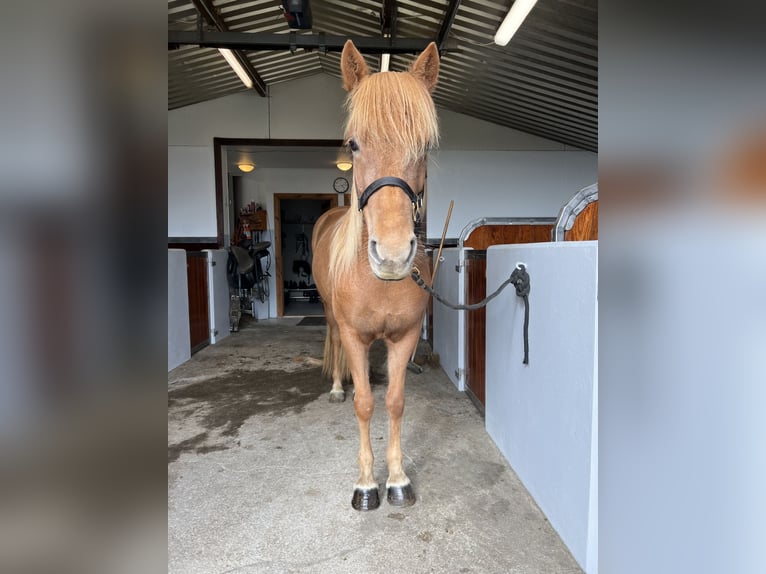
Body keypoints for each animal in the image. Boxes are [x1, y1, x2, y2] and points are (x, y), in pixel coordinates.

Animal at [312, 39, 440, 512]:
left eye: (424, 146)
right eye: (353, 144)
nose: (392, 256)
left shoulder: (404, 336)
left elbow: (395, 402)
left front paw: (398, 479)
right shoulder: (353, 334)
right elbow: (366, 403)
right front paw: (367, 484)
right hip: (331, 316)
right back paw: (336, 386)